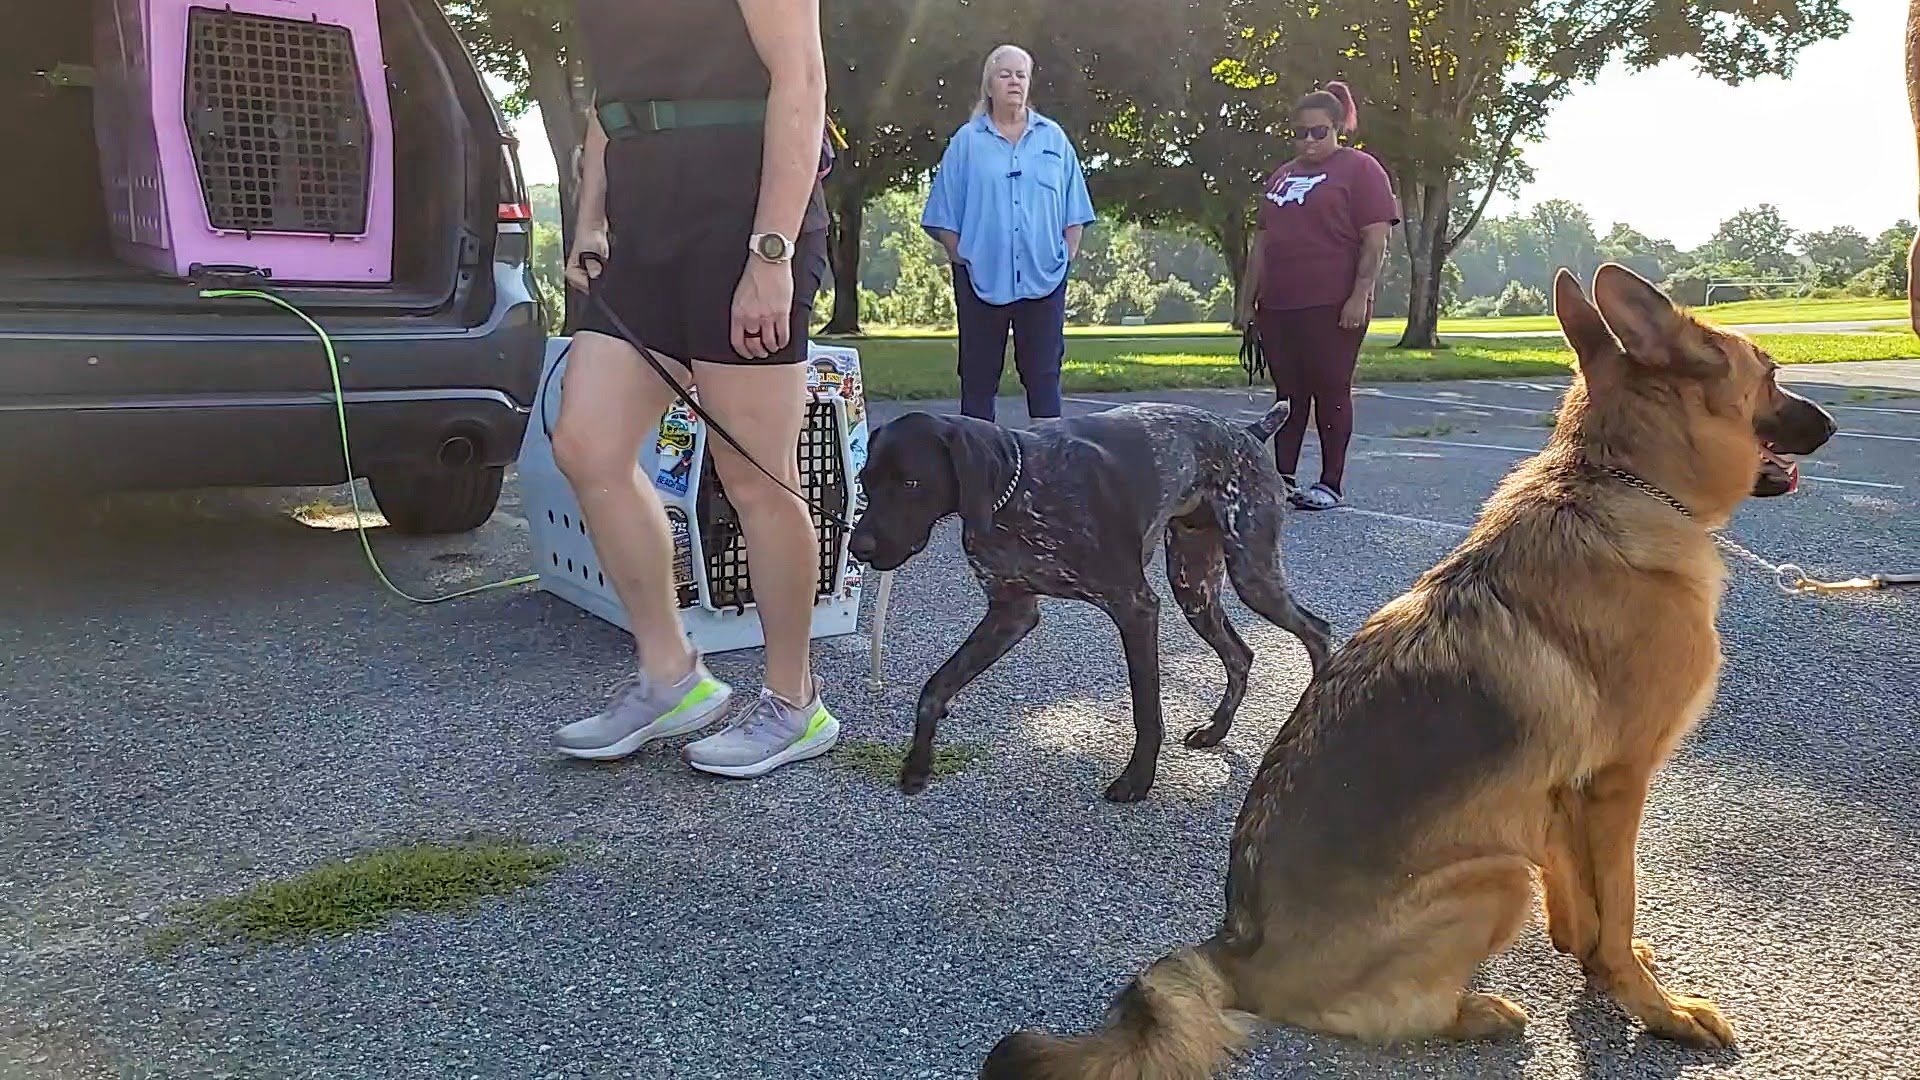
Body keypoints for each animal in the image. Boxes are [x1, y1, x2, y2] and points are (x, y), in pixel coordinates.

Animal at [983, 263, 1835, 1076]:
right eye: (1769, 370)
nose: (1827, 423)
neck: (1613, 481)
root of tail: (1236, 944)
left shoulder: (1559, 797)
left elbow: (1586, 907)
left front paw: (1596, 962)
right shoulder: (1616, 786)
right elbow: (1617, 906)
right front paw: (1654, 1007)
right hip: (1497, 874)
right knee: (1375, 1016)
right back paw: (1476, 1012)